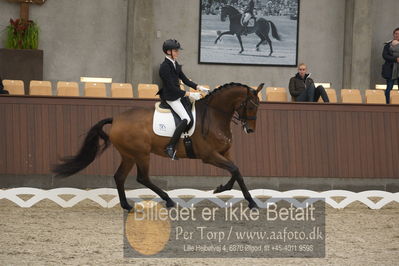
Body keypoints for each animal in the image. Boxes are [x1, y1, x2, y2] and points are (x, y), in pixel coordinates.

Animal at [53, 82, 266, 211]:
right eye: (250, 106)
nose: (250, 130)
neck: (214, 116)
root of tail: (116, 119)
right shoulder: (210, 156)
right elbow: (235, 170)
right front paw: (250, 201)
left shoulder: (224, 152)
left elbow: (236, 171)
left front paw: (223, 189)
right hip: (141, 154)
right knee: (142, 177)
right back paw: (168, 200)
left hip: (129, 155)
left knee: (120, 176)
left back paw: (127, 205)